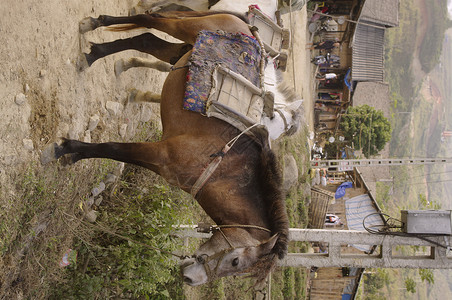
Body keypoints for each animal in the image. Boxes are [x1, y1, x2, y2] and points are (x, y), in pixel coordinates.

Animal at [51, 11, 290, 286]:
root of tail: (246, 27)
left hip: (182, 51)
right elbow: (113, 148)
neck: (224, 170)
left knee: (146, 39)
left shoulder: (160, 162)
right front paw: (65, 150)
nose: (190, 279)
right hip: (183, 28)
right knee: (150, 19)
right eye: (236, 262)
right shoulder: (160, 153)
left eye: (237, 270)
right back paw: (94, 27)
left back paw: (96, 54)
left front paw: (72, 153)